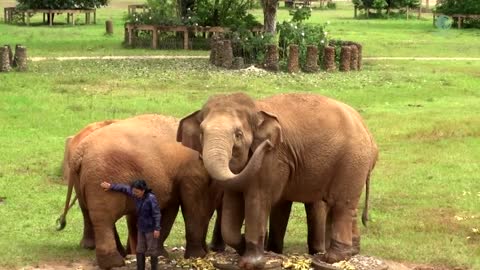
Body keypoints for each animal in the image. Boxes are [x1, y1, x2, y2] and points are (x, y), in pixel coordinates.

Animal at [59, 114, 223, 270]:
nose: (208, 250)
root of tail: (80, 151)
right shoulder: (192, 171)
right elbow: (193, 206)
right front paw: (197, 256)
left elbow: (167, 209)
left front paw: (159, 254)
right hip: (101, 176)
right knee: (104, 218)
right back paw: (114, 262)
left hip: (84, 179)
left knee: (93, 212)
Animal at [177, 92, 378, 268]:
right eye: (202, 133)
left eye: (238, 134)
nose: (267, 145)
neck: (256, 108)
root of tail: (367, 130)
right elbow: (232, 204)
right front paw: (245, 248)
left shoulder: (272, 158)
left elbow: (258, 198)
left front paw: (251, 262)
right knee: (342, 205)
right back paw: (351, 253)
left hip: (352, 160)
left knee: (340, 204)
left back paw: (333, 258)